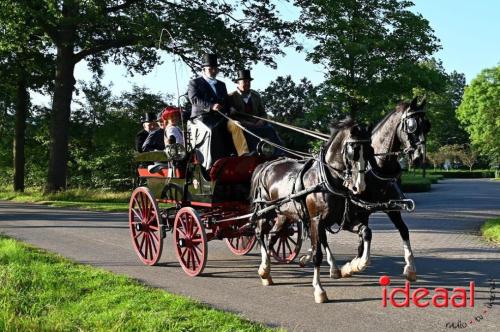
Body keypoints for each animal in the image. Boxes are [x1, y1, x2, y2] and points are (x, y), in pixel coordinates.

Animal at [249, 120, 372, 304]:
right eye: (354, 150)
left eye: (370, 150)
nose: (360, 186)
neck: (326, 178)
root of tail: (266, 165)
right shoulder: (316, 220)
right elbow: (317, 253)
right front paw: (319, 290)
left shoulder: (340, 219)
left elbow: (365, 231)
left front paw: (358, 264)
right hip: (265, 212)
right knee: (259, 233)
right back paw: (264, 268)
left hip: (284, 215)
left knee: (272, 236)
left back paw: (268, 273)